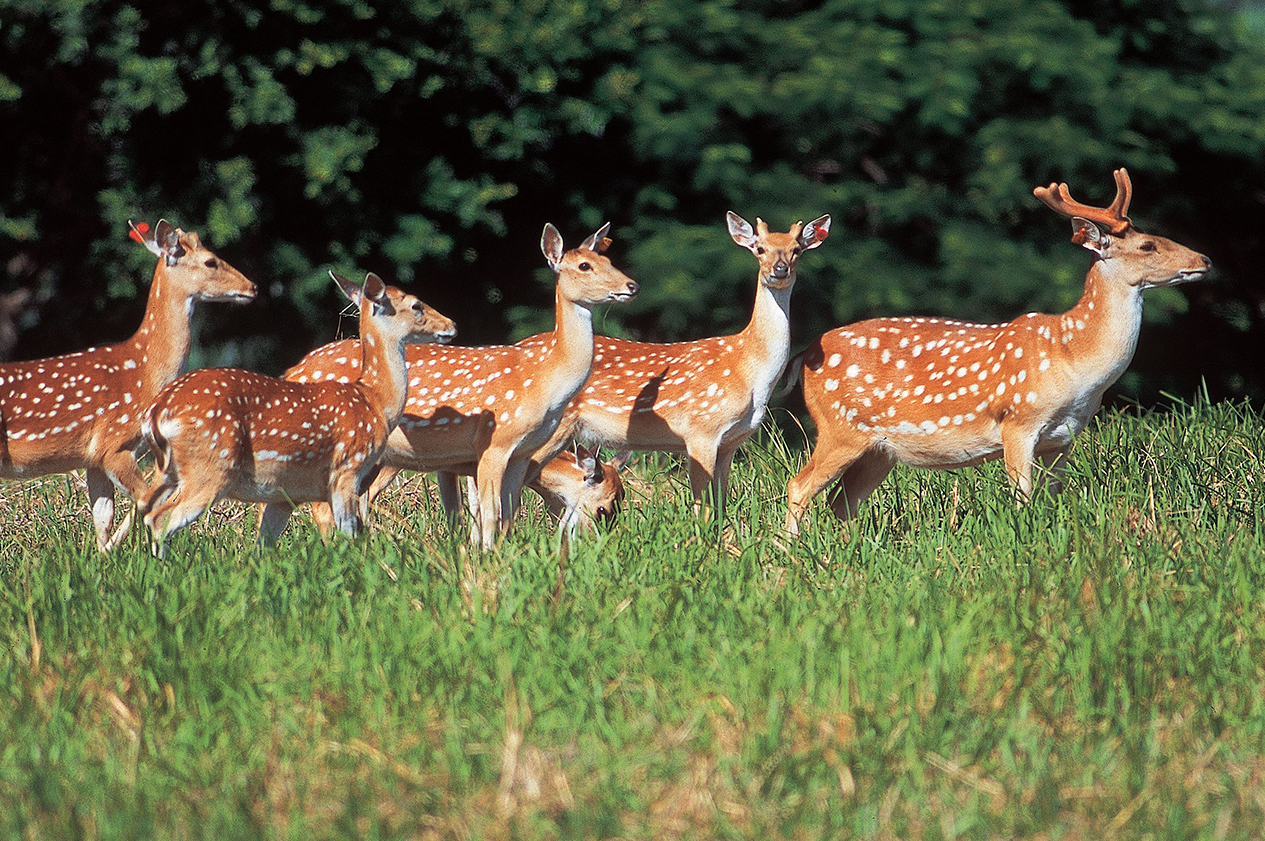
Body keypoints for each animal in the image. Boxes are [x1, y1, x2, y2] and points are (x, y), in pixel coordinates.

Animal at [0, 220, 256, 553]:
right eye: (210, 261)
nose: (252, 287)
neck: (145, 372)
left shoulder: (93, 457)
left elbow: (103, 516)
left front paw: (102, 555)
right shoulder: (114, 443)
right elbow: (146, 500)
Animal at [141, 270, 457, 551]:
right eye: (416, 305)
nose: (452, 324)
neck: (374, 400)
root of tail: (158, 412)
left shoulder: (282, 494)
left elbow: (262, 549)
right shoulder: (346, 469)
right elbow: (347, 535)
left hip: (168, 469)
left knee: (144, 505)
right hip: (210, 465)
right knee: (158, 519)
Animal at [273, 220, 637, 548]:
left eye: (609, 260)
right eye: (585, 265)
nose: (631, 285)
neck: (544, 380)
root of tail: (291, 371)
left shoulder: (514, 455)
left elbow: (497, 514)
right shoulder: (494, 444)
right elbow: (489, 514)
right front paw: (486, 558)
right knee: (324, 507)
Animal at [518, 209, 834, 510]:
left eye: (797, 249)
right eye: (759, 248)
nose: (779, 269)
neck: (748, 369)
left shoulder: (731, 442)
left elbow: (721, 506)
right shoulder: (701, 429)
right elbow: (702, 507)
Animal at [784, 168, 1209, 533]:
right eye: (1147, 245)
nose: (1204, 259)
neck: (1074, 359)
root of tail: (803, 357)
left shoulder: (1064, 437)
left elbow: (1052, 497)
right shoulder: (1018, 421)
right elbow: (1022, 497)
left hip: (879, 450)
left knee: (842, 502)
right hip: (840, 426)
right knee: (799, 486)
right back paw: (787, 553)